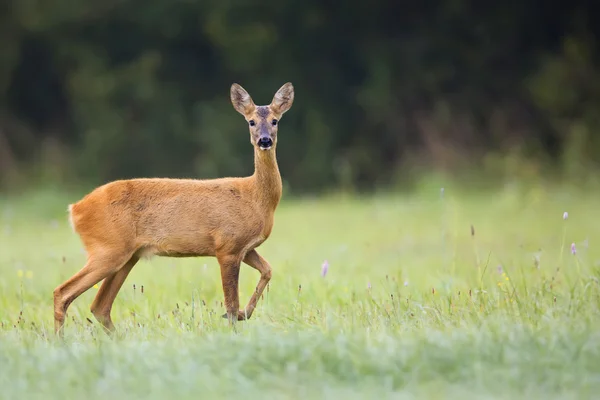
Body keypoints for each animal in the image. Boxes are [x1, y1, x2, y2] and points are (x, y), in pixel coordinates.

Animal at [55, 83, 294, 336]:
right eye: (251, 121)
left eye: (275, 120)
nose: (265, 140)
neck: (256, 197)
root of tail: (75, 209)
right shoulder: (227, 245)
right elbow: (230, 303)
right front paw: (234, 327)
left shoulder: (245, 248)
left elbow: (267, 270)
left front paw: (244, 314)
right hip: (107, 249)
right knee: (63, 293)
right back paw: (60, 340)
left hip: (126, 255)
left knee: (99, 306)